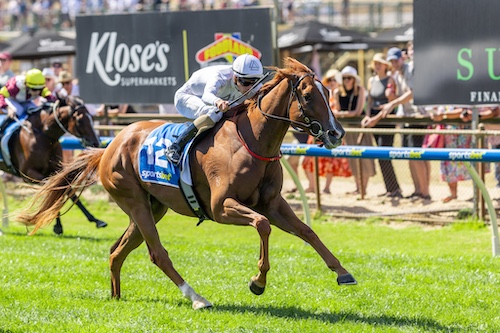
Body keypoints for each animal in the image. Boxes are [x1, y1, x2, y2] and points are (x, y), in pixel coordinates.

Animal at [1, 94, 107, 233]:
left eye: (92, 118)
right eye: (79, 120)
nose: (96, 143)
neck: (43, 136)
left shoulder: (56, 171)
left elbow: (65, 191)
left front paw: (96, 220)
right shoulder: (28, 174)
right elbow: (53, 192)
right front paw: (57, 226)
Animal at [17, 57, 356, 308]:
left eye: (329, 94)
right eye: (309, 96)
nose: (337, 133)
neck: (253, 142)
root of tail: (108, 147)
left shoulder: (273, 204)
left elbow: (307, 231)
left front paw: (343, 272)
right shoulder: (222, 207)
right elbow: (261, 225)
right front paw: (257, 282)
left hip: (152, 207)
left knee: (117, 251)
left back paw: (116, 296)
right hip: (134, 201)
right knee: (157, 253)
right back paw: (197, 298)